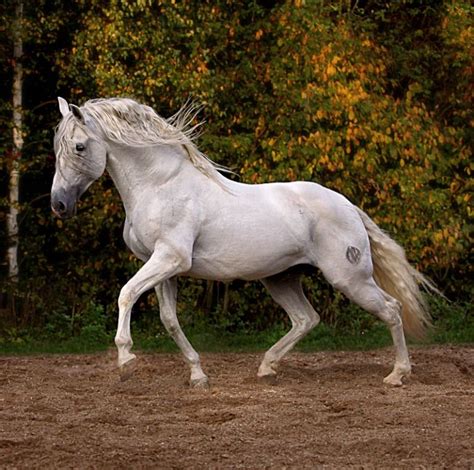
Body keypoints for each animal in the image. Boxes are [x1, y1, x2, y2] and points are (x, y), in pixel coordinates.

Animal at [51, 97, 436, 388]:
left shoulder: (170, 259)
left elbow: (126, 294)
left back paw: (397, 375)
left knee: (391, 310)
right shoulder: (163, 267)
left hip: (349, 279)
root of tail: (348, 206)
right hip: (281, 278)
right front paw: (198, 376)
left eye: (79, 146)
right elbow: (169, 319)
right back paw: (267, 367)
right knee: (306, 319)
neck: (160, 185)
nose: (59, 205)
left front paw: (125, 359)